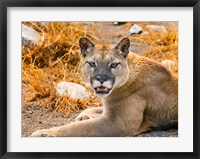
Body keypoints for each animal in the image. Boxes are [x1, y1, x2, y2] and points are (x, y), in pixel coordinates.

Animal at [31, 37, 178, 137]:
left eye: (113, 65)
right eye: (92, 63)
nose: (101, 79)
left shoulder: (118, 123)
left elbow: (78, 128)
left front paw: (44, 133)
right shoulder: (110, 109)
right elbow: (92, 110)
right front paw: (84, 116)